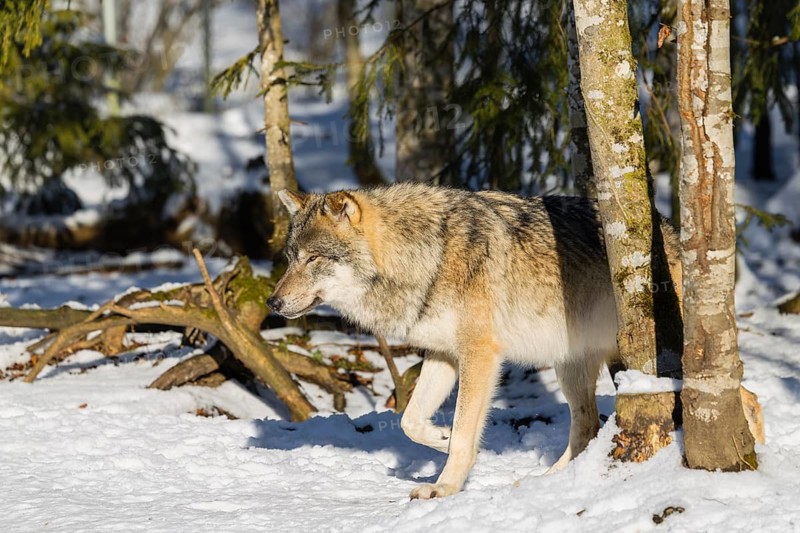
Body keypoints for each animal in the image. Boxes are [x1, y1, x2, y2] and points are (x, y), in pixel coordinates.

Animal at [267, 183, 682, 500]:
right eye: (290, 258)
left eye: (313, 259)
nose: (272, 303)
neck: (428, 259)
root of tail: (668, 227)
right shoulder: (443, 355)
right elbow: (409, 420)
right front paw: (441, 436)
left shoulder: (480, 355)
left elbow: (465, 435)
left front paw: (444, 488)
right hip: (569, 367)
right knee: (587, 425)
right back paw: (548, 482)